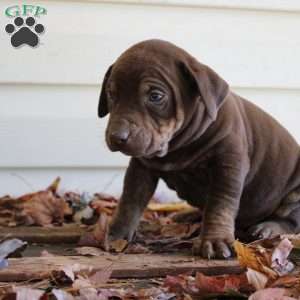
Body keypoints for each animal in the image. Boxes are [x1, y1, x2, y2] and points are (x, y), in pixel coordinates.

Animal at [97, 39, 300, 258]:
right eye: (111, 94)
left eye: (155, 96)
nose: (117, 137)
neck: (179, 143)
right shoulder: (141, 166)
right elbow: (130, 201)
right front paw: (117, 235)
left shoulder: (228, 164)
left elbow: (220, 204)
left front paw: (215, 240)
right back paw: (189, 214)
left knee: (291, 219)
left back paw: (269, 227)